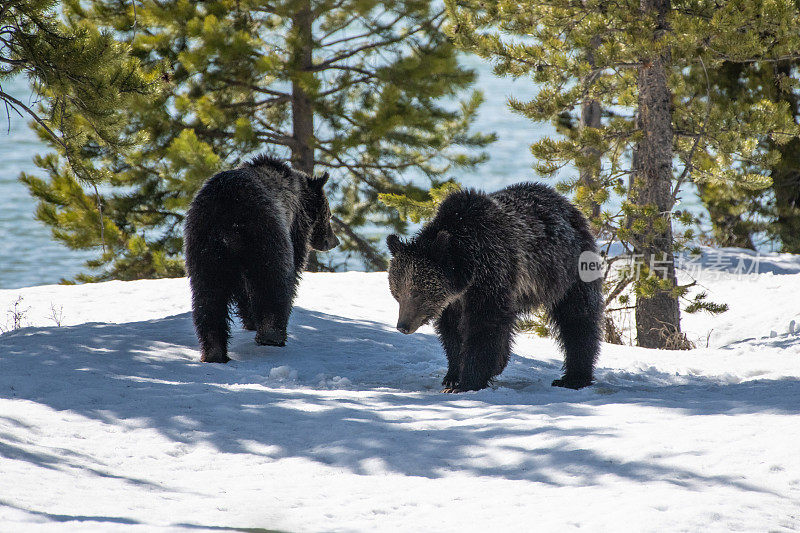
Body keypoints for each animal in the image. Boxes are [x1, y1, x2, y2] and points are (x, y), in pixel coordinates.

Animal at [184, 154, 338, 362]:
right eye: (329, 215)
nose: (334, 241)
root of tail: (227, 219)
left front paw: (250, 321)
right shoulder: (294, 228)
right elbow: (293, 265)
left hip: (204, 248)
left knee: (208, 297)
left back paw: (214, 352)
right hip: (265, 236)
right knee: (273, 283)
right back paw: (272, 336)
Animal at [386, 183, 600, 390]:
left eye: (417, 293)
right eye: (397, 293)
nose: (403, 326)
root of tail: (567, 203)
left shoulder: (491, 274)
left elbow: (484, 326)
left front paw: (468, 381)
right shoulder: (454, 301)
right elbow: (453, 332)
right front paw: (453, 376)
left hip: (568, 272)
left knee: (578, 319)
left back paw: (574, 377)